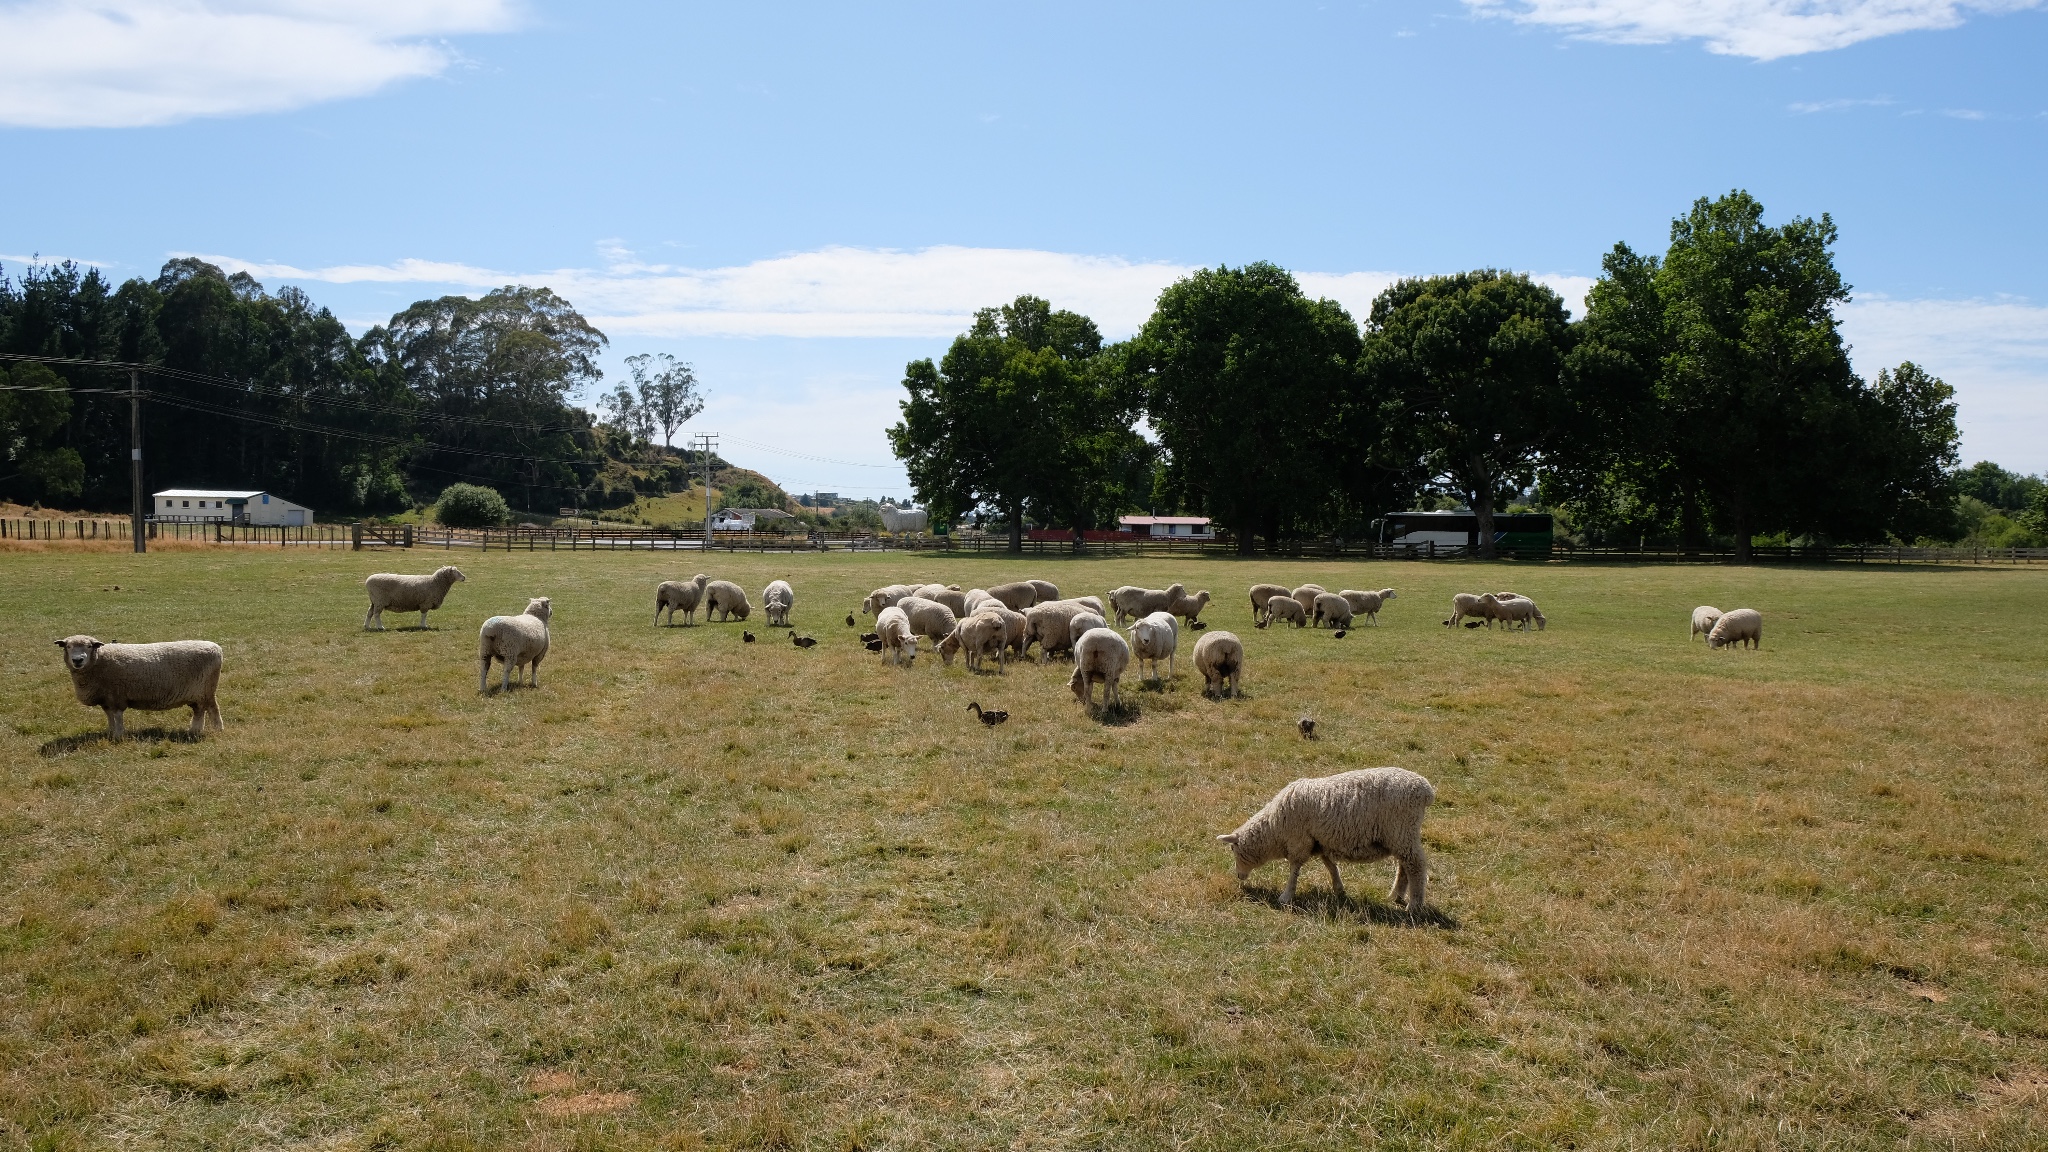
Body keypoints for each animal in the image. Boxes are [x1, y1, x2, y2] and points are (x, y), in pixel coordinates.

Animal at [55, 631, 224, 737]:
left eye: (89, 646)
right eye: (68, 646)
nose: (78, 660)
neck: (99, 661)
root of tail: (217, 648)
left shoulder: (116, 696)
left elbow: (117, 716)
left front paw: (119, 735)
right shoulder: (106, 698)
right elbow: (109, 716)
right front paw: (110, 732)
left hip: (206, 689)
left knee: (211, 709)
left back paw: (214, 730)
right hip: (198, 693)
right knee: (200, 710)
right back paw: (196, 731)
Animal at [1212, 766, 1441, 910]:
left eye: (1233, 850)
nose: (1239, 876)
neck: (1274, 828)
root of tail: (1426, 790)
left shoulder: (1299, 841)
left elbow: (1294, 870)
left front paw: (1286, 896)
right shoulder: (1320, 841)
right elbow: (1330, 864)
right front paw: (1339, 888)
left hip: (1402, 829)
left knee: (1415, 865)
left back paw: (1414, 905)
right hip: (1399, 836)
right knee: (1404, 866)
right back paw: (1396, 896)